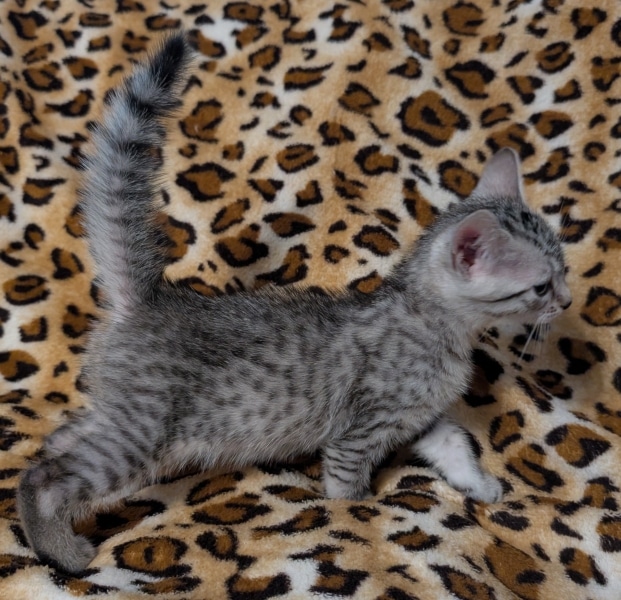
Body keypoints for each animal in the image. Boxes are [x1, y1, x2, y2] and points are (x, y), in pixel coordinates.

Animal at [17, 33, 571, 574]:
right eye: (541, 287)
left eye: (564, 270)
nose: (565, 302)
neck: (435, 325)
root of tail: (151, 299)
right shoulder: (361, 430)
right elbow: (346, 485)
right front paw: (358, 514)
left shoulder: (418, 415)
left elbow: (454, 443)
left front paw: (479, 484)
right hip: (142, 433)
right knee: (45, 479)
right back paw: (62, 552)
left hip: (117, 414)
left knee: (51, 446)